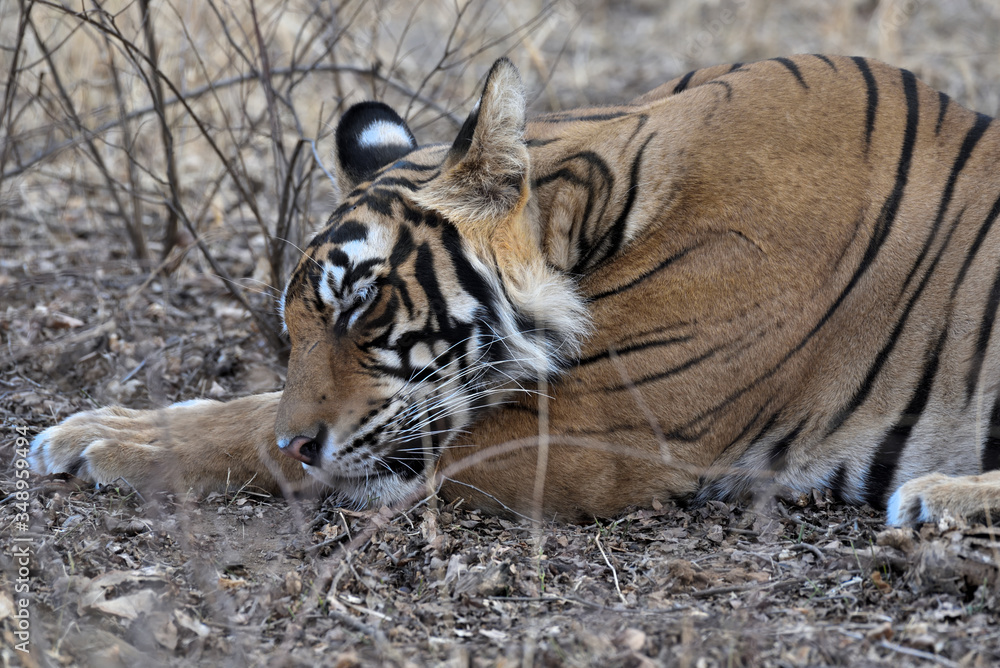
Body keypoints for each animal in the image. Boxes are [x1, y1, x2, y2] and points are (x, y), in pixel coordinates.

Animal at [30, 55, 1000, 526]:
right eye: (295, 328)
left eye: (360, 305)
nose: (306, 442)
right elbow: (249, 407)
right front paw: (100, 425)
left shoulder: (591, 429)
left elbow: (256, 432)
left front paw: (105, 442)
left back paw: (937, 498)